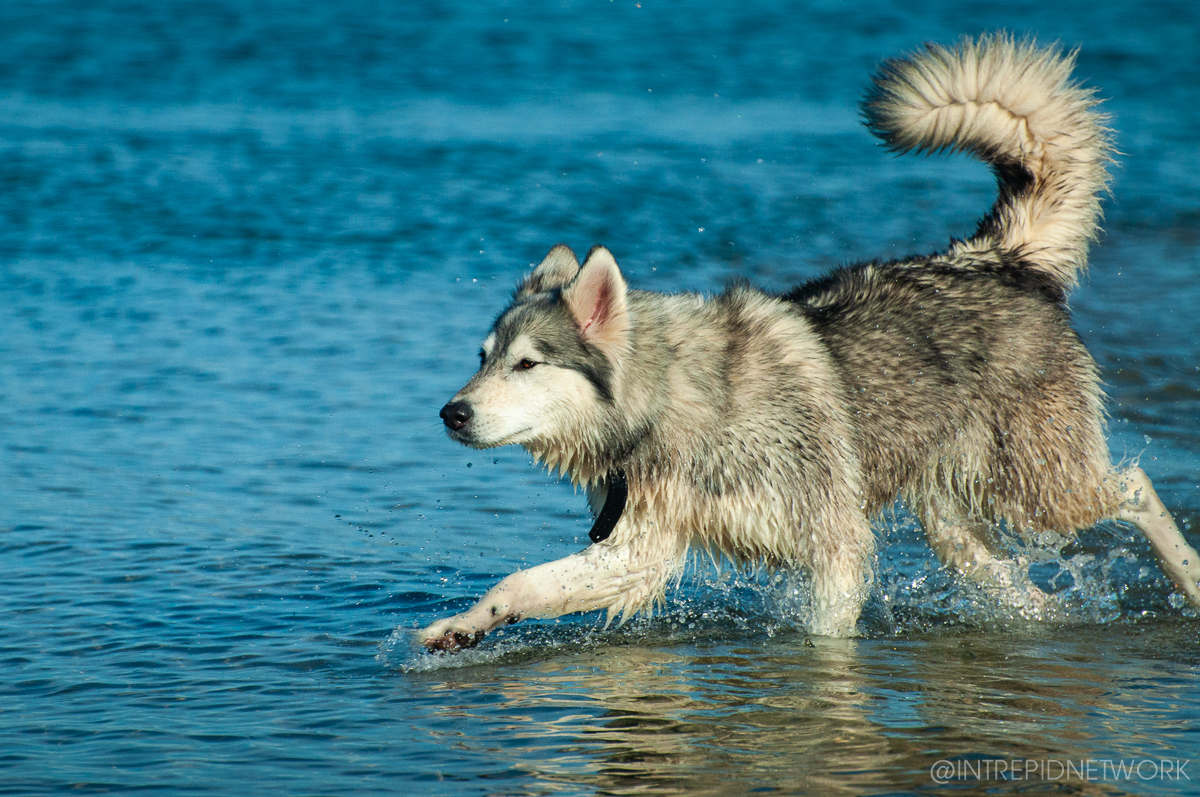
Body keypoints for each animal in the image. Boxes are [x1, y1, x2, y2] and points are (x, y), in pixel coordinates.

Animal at [420, 32, 1200, 652]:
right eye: (482, 358)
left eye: (527, 363)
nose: (450, 415)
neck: (680, 406)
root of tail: (993, 257)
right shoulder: (638, 549)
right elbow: (519, 582)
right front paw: (460, 627)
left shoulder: (836, 544)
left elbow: (826, 636)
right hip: (958, 530)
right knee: (1026, 593)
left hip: (1033, 494)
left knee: (1133, 487)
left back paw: (1191, 579)